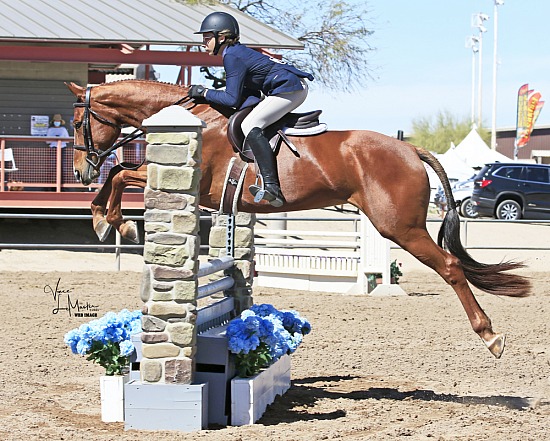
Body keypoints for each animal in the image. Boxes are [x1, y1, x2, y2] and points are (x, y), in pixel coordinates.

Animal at [67, 79, 532, 358]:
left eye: (75, 122)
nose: (79, 172)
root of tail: (410, 149)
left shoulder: (198, 187)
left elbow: (122, 172)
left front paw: (113, 220)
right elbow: (119, 172)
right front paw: (104, 217)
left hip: (399, 227)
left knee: (451, 267)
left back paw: (491, 336)